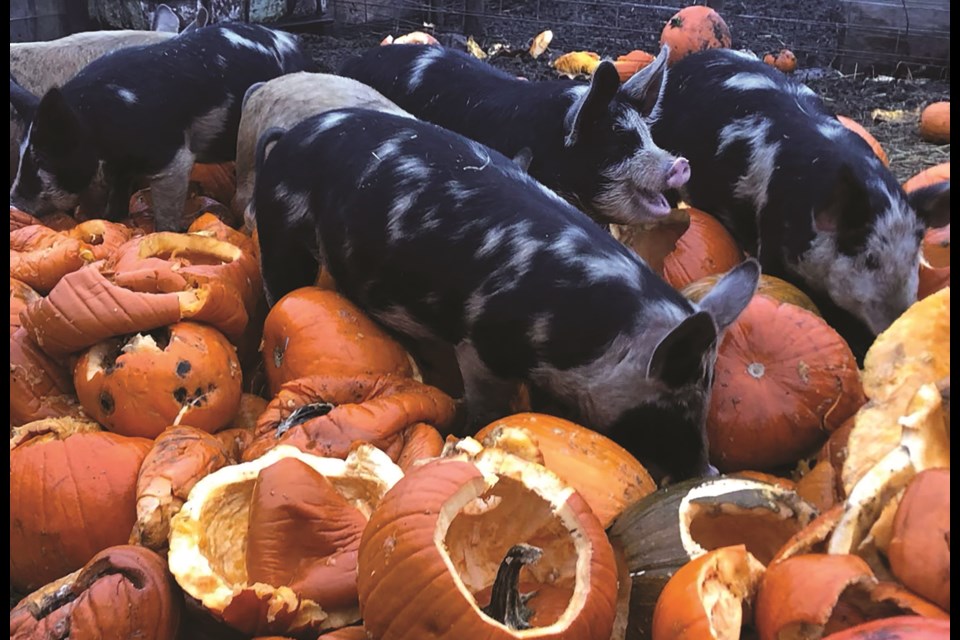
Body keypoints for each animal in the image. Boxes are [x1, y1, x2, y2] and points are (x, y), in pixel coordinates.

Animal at [8, 23, 308, 232]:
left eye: (42, 158)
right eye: (21, 153)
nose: (14, 202)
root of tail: (289, 38)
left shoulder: (173, 156)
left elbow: (167, 213)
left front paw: (165, 232)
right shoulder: (120, 164)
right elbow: (118, 198)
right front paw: (112, 218)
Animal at [256, 109, 764, 480]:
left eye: (709, 394)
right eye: (670, 407)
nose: (709, 472)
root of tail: (292, 135)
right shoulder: (481, 345)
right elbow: (490, 408)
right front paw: (469, 429)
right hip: (280, 229)